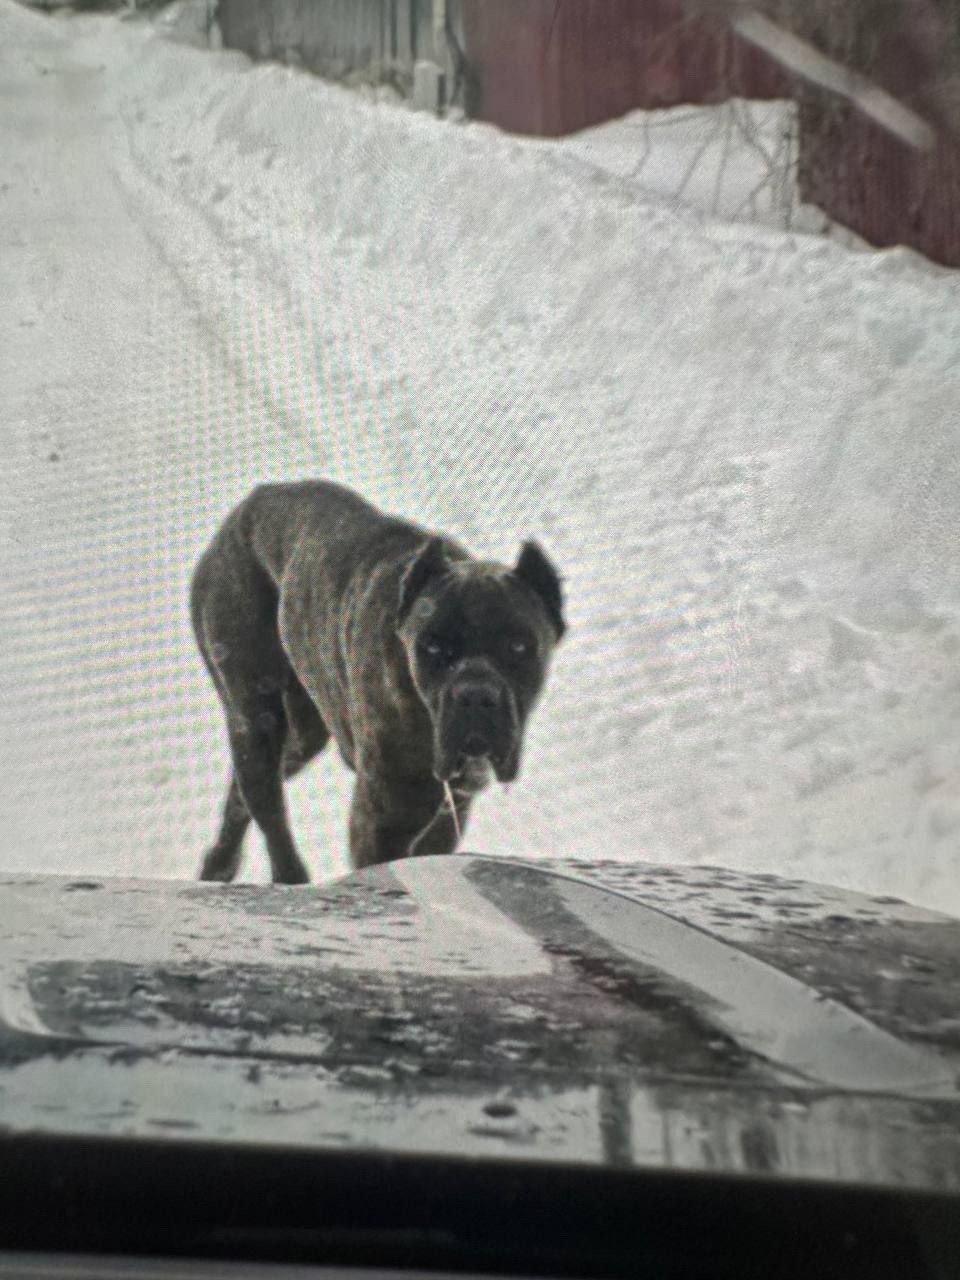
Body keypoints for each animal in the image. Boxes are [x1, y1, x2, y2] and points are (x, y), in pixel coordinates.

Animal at [190, 481, 566, 883]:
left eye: (519, 646)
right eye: (431, 646)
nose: (475, 694)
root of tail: (254, 499)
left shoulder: (447, 818)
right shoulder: (382, 823)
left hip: (302, 735)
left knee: (244, 792)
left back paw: (219, 863)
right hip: (256, 714)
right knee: (266, 803)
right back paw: (285, 876)